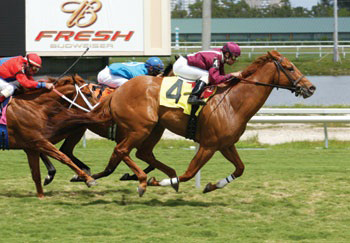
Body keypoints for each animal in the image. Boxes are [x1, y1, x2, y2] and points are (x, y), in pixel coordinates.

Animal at [82, 50, 318, 196]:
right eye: (289, 67)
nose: (311, 87)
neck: (232, 102)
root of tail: (119, 90)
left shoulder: (225, 144)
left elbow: (240, 168)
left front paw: (212, 185)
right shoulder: (208, 145)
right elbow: (188, 174)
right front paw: (159, 181)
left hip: (155, 128)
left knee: (142, 152)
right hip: (140, 128)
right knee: (122, 150)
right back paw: (140, 181)